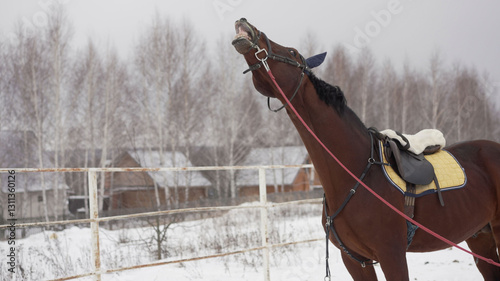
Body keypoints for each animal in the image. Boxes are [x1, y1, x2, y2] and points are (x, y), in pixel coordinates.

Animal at [232, 18, 500, 278]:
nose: (246, 24)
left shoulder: (392, 256)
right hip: (480, 235)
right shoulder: (354, 260)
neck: (355, 175)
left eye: (292, 52)